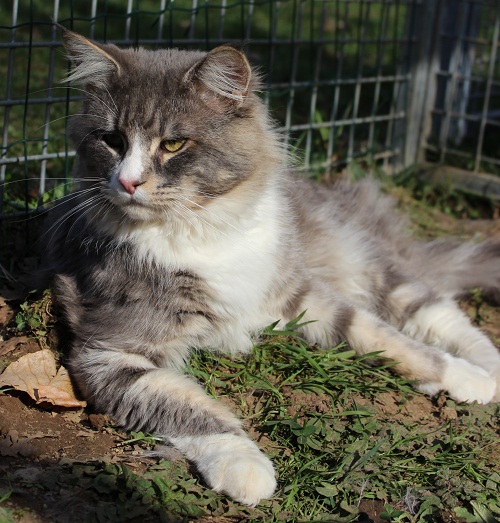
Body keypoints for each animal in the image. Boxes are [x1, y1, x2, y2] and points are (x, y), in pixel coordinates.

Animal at [43, 25, 500, 508]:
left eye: (172, 144)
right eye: (112, 141)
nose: (128, 182)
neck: (201, 230)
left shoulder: (300, 293)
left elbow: (386, 338)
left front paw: (457, 375)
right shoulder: (109, 352)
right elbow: (187, 408)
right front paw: (243, 464)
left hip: (361, 264)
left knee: (431, 308)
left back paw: (482, 372)